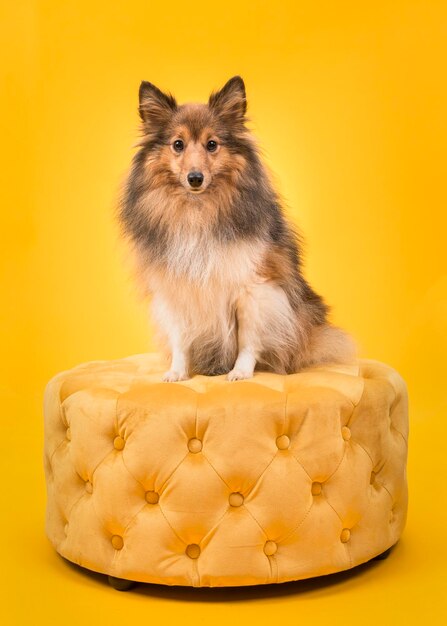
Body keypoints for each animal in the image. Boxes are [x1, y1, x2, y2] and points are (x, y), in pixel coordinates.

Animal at [119, 75, 356, 378]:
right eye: (178, 144)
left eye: (212, 144)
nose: (195, 178)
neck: (198, 211)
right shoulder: (176, 289)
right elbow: (180, 339)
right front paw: (176, 374)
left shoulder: (254, 289)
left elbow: (247, 339)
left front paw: (240, 373)